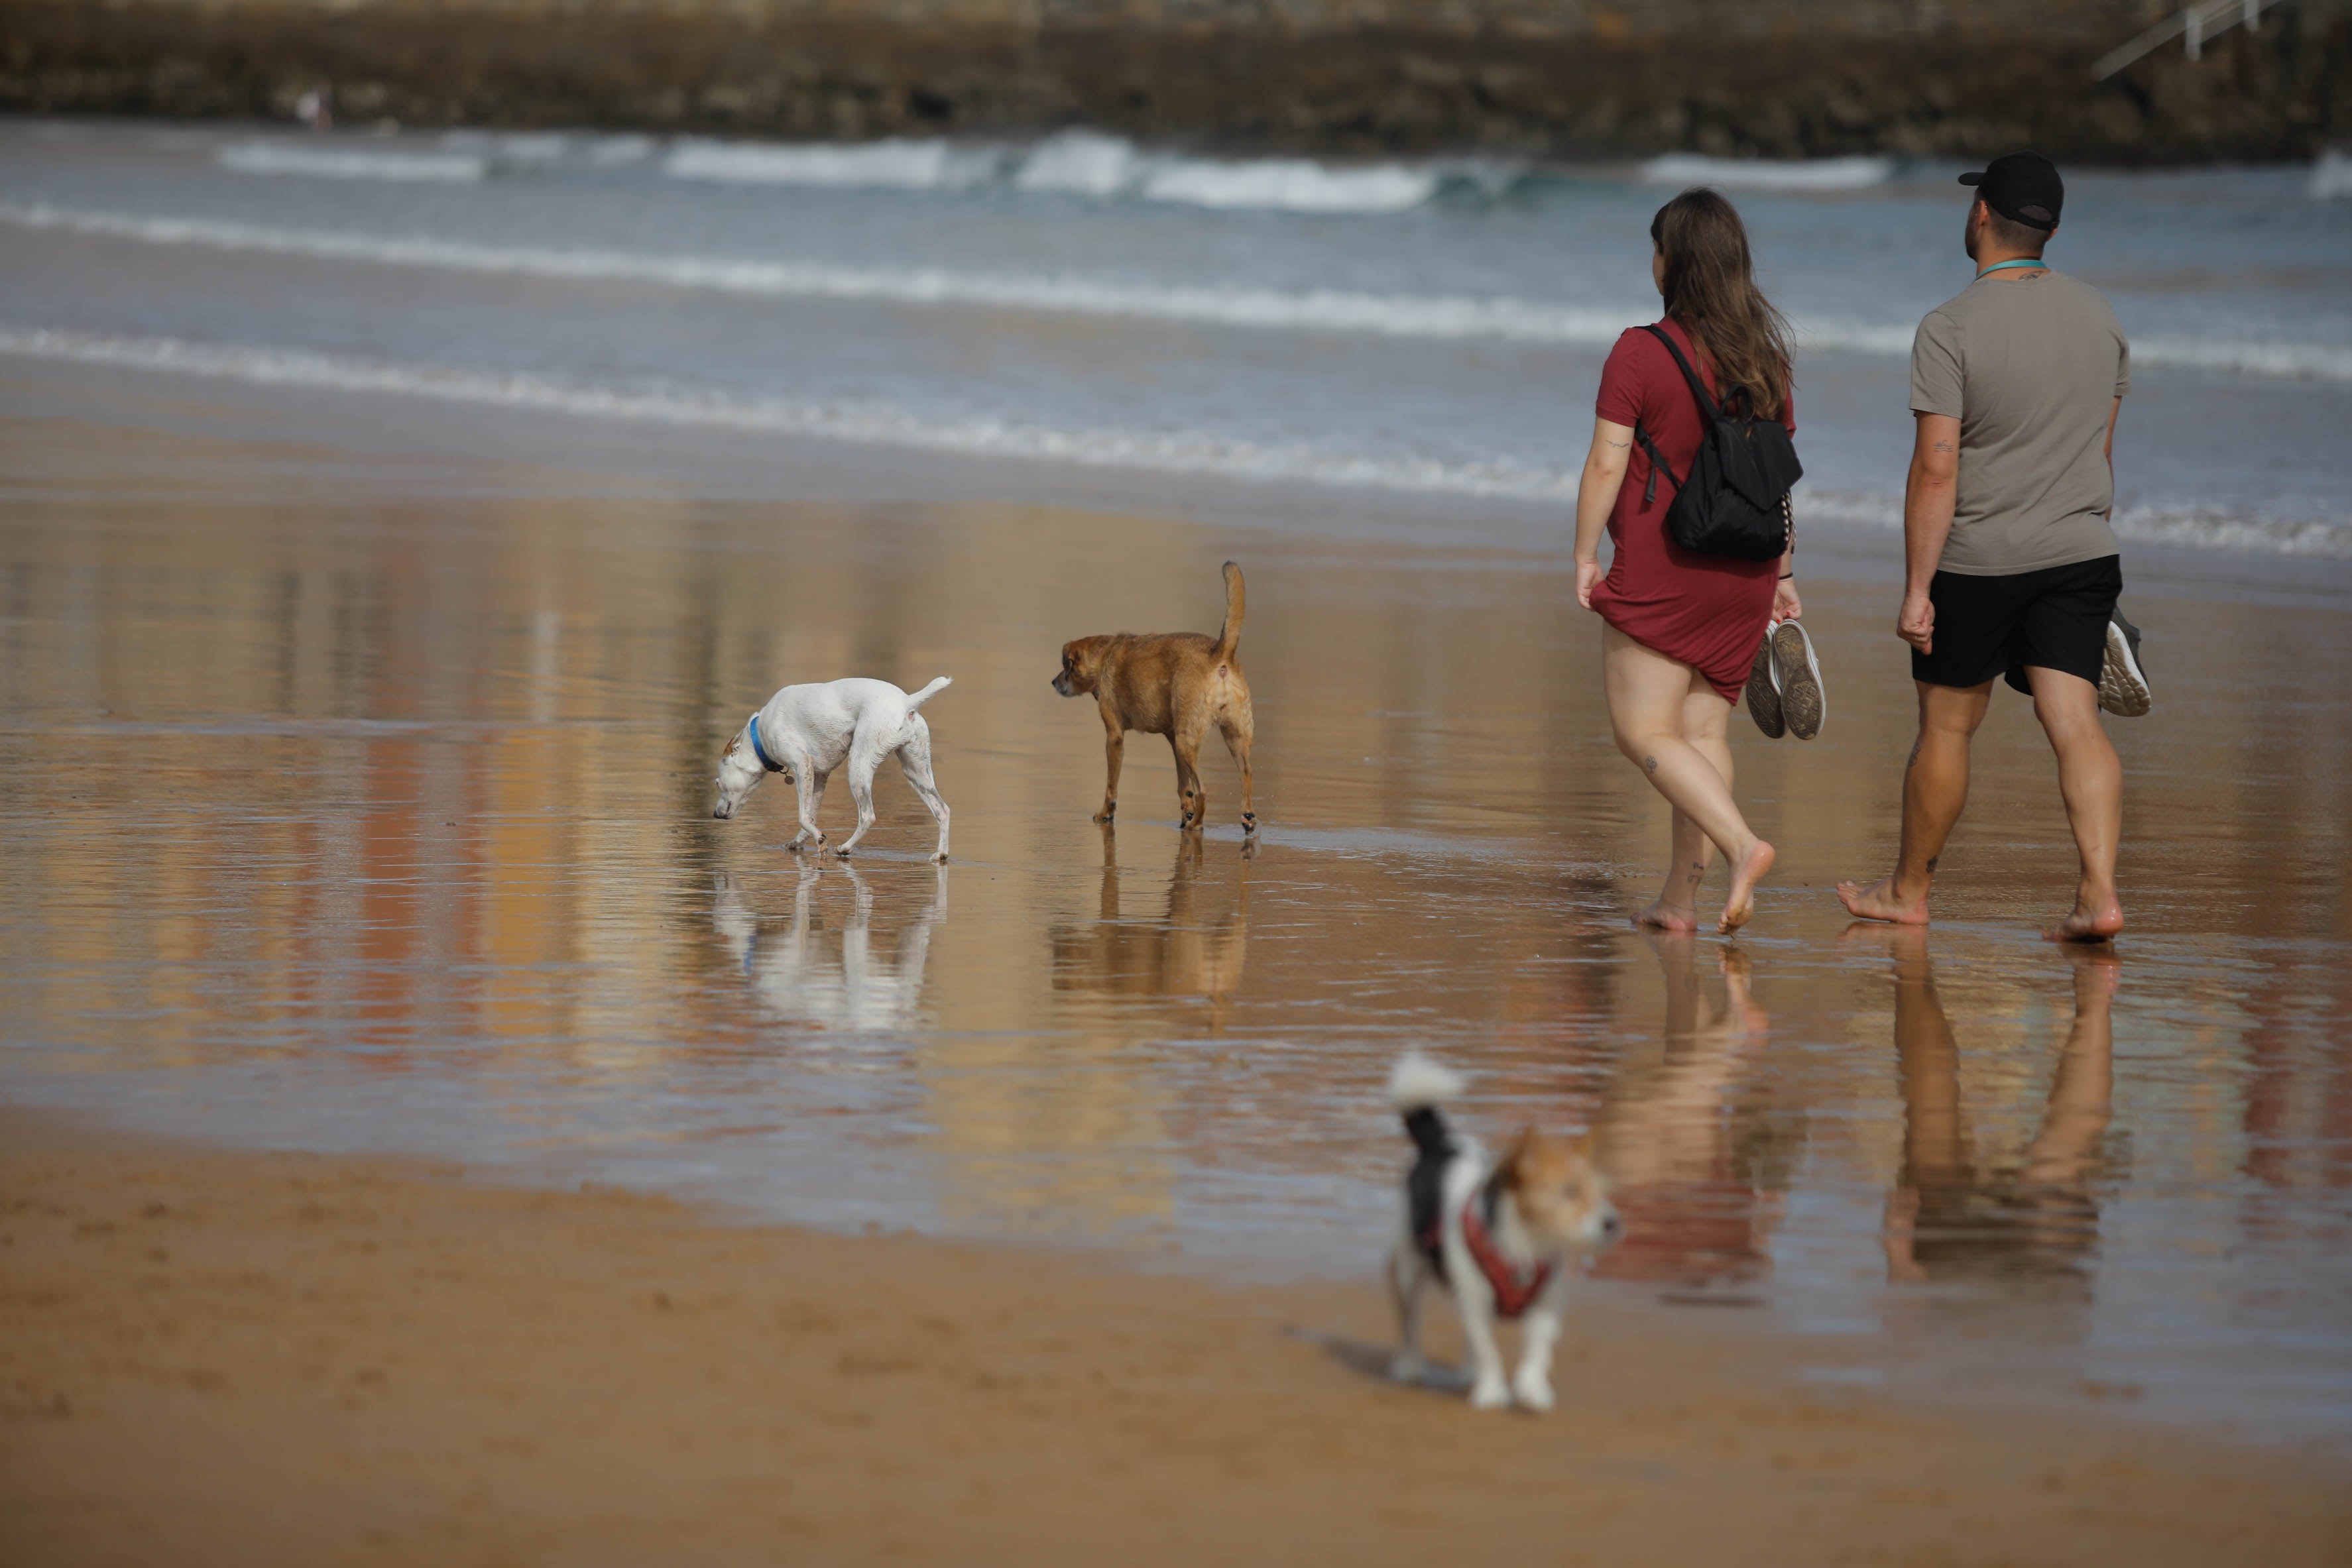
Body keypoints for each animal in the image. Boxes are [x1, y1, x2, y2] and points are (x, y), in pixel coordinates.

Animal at [710, 677, 950, 865]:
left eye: (718, 783)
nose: (715, 814)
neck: (759, 736)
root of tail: (906, 701)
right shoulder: (819, 776)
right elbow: (811, 815)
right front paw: (799, 842)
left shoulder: (803, 765)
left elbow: (803, 817)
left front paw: (821, 841)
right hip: (916, 772)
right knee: (943, 810)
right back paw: (941, 854)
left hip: (859, 767)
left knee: (868, 816)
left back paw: (845, 848)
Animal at [1053, 561, 1260, 832]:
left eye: (1065, 667)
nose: (1054, 682)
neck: (1103, 655)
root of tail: (1220, 654)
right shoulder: (1171, 738)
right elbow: (1183, 788)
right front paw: (1186, 812)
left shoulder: (1115, 737)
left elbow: (1111, 785)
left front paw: (1106, 813)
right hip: (1233, 736)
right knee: (1245, 772)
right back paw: (1244, 815)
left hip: (1187, 741)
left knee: (1203, 790)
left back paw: (1196, 825)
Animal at [1383, 1053, 1627, 1410]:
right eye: (1569, 1192)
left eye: (1601, 1194)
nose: (1612, 1223)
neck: (1526, 1242)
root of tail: (1439, 1146)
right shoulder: (1475, 1302)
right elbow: (1487, 1349)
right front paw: (1492, 1391)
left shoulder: (1546, 1304)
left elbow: (1538, 1350)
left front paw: (1531, 1387)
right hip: (1408, 1268)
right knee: (1410, 1321)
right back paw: (1410, 1365)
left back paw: (1466, 1372)